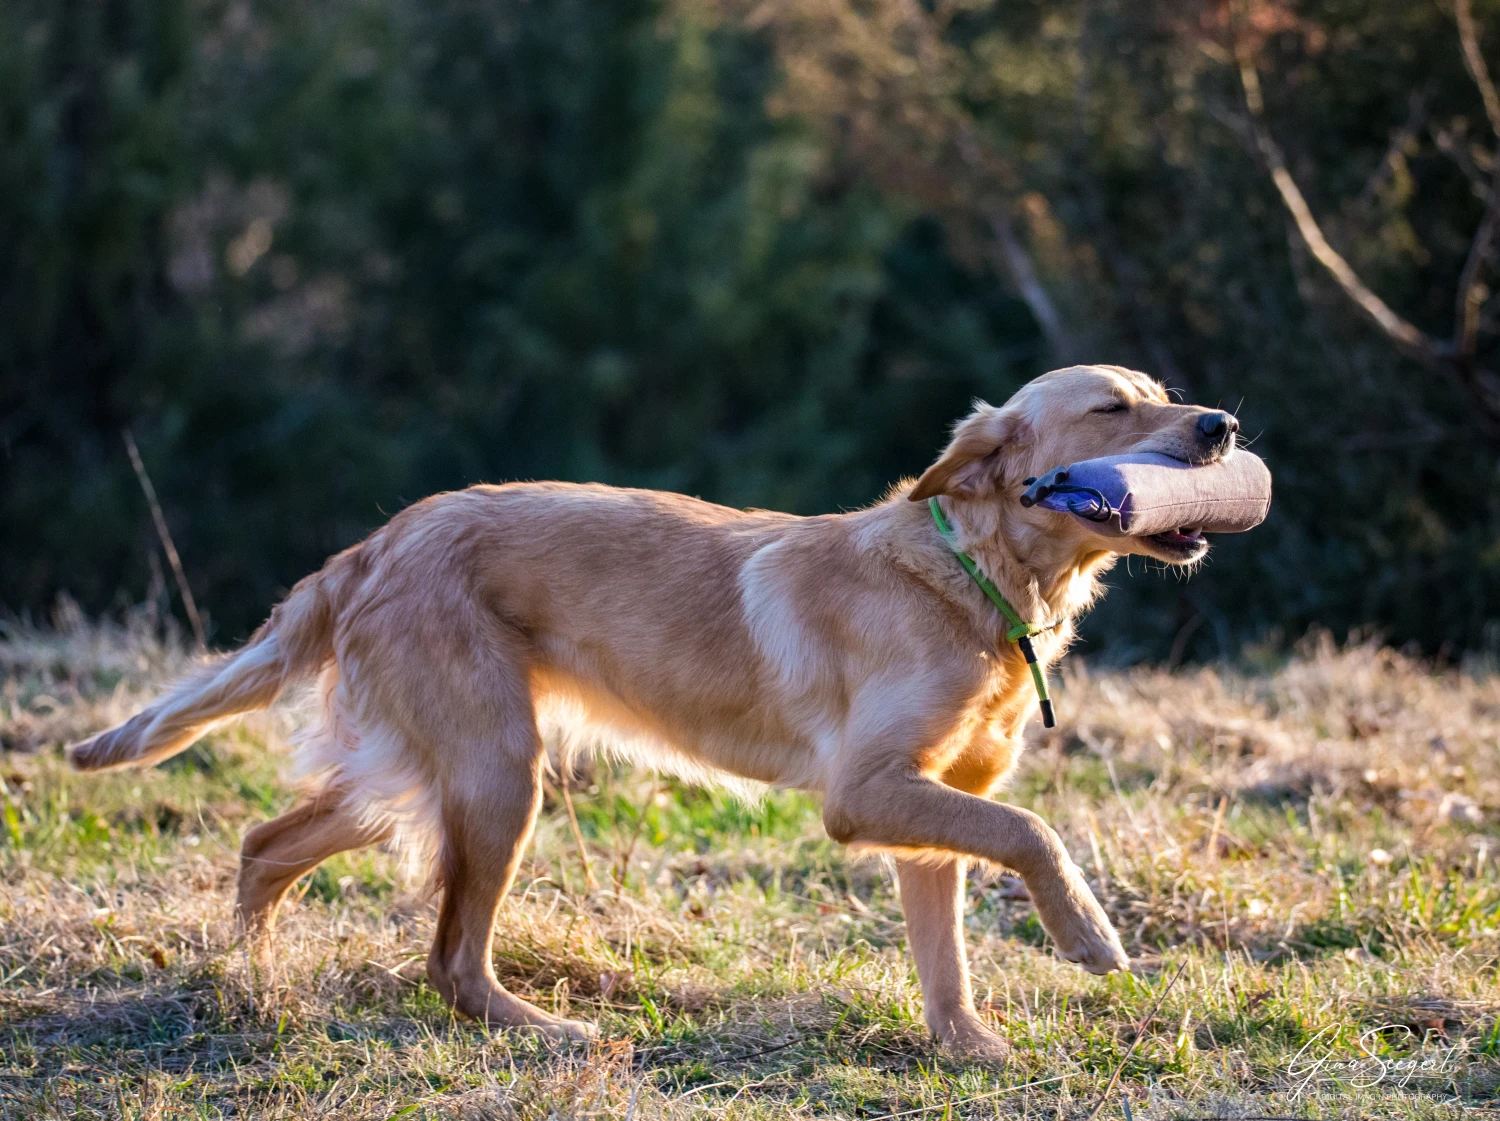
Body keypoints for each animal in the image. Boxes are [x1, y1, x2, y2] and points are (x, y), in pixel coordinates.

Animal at [70, 364, 1236, 1056]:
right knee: (450, 959)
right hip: (495, 774)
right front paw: (1088, 933)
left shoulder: (931, 801)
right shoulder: (865, 792)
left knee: (266, 843)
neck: (974, 575)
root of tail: (376, 541)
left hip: (414, 771)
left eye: (1169, 390)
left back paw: (251, 983)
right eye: (1112, 408)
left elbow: (945, 948)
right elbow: (1034, 830)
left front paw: (965, 1045)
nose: (1223, 422)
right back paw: (550, 1031)